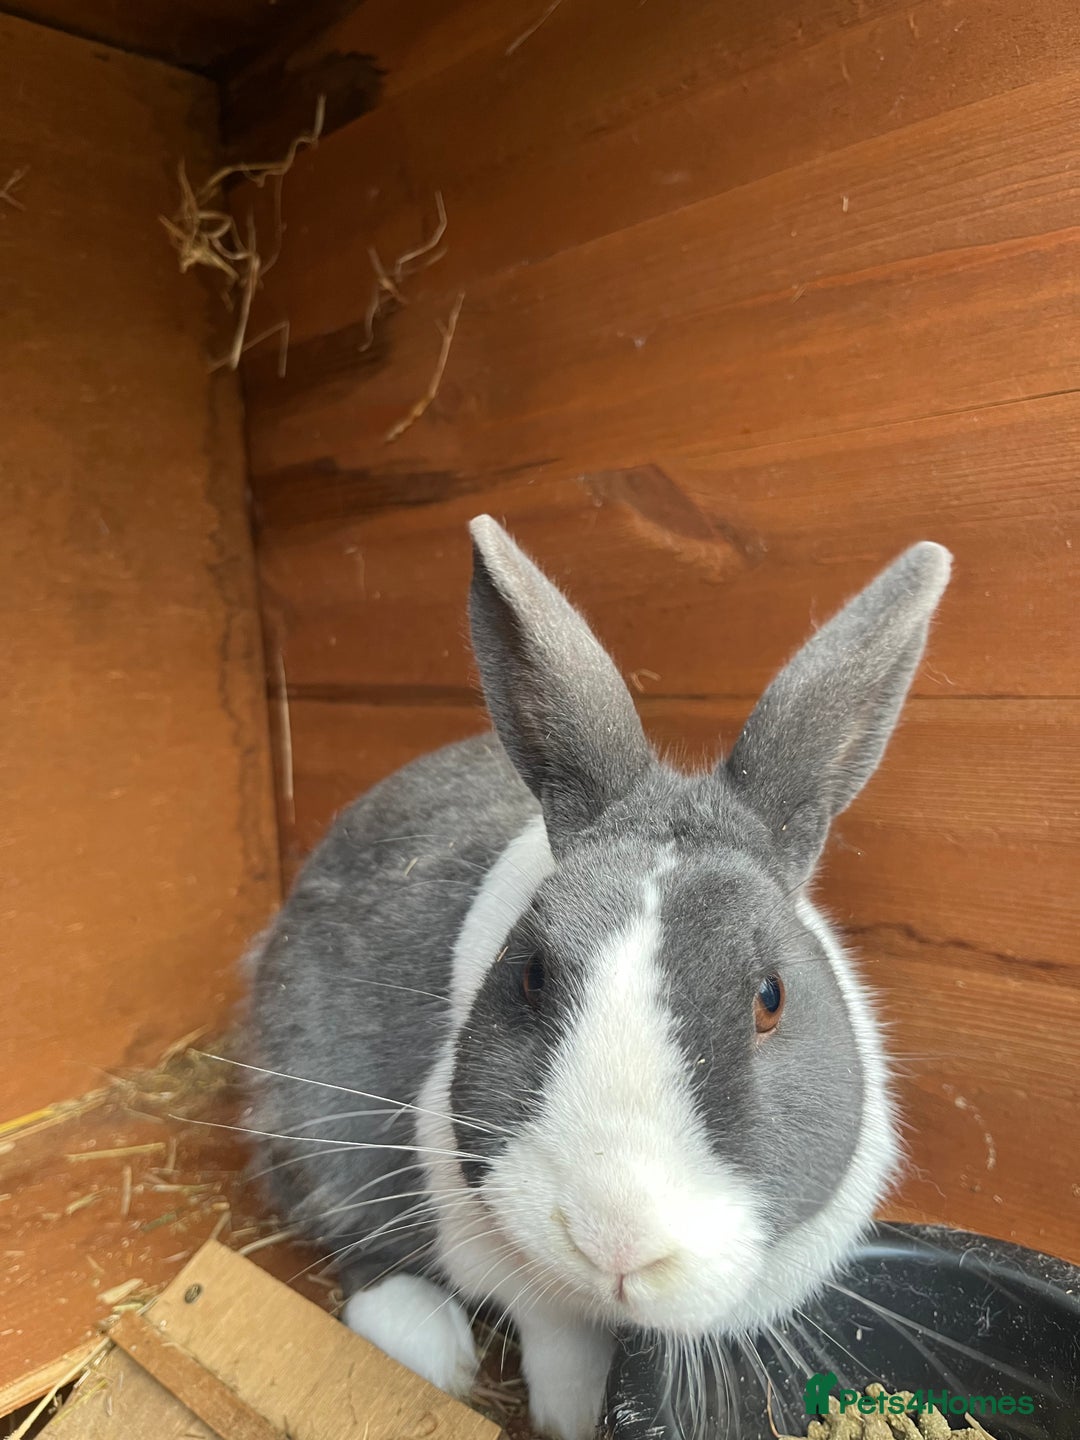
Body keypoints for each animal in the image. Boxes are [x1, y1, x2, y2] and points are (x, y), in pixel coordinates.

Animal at [246, 516, 951, 1440]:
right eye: (533, 978)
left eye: (770, 998)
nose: (616, 1241)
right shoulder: (512, 1261)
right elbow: (563, 1346)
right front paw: (574, 1417)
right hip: (315, 1110)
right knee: (352, 1234)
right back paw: (432, 1346)